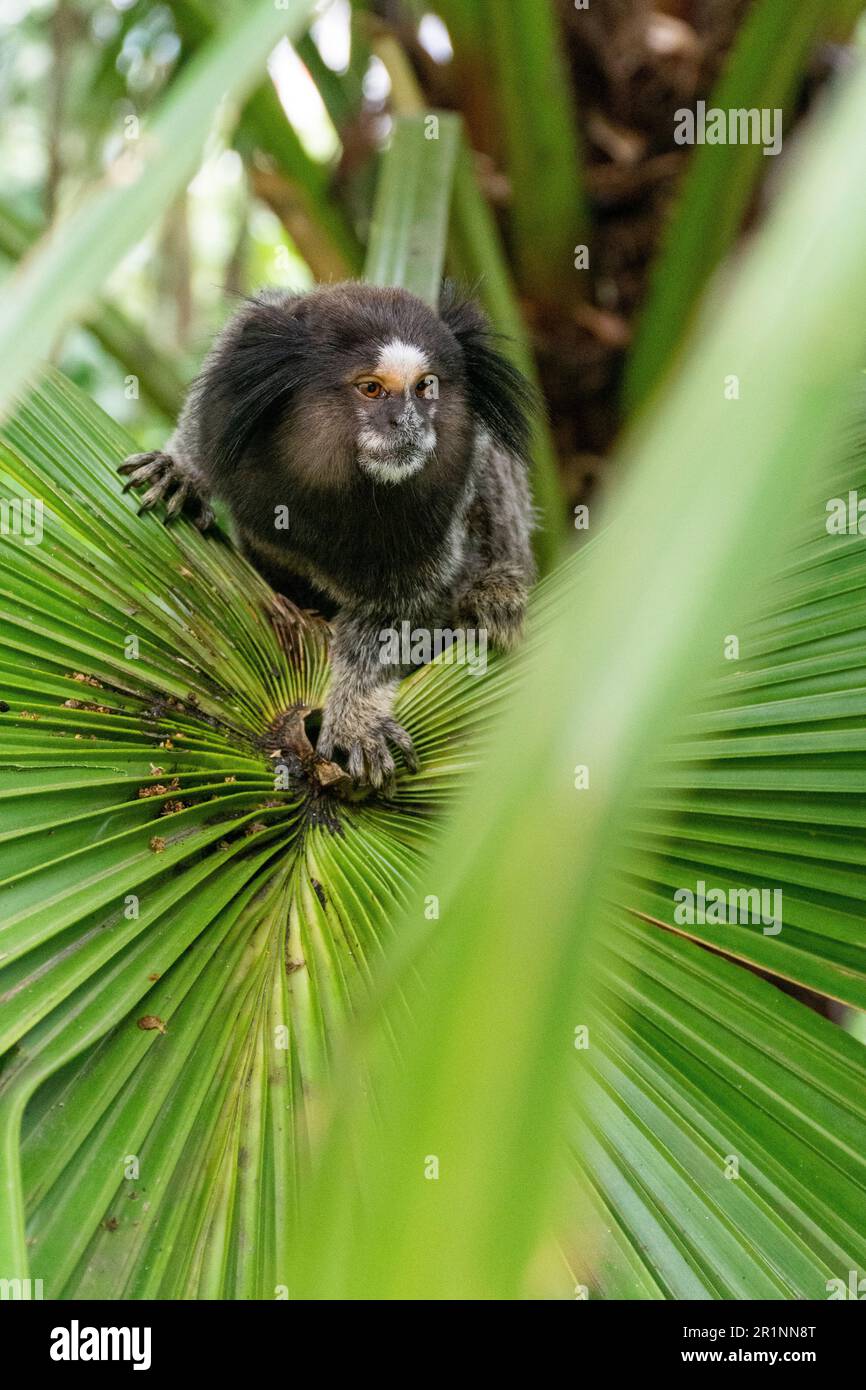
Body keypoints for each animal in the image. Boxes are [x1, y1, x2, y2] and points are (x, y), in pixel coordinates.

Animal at [118, 282, 539, 789]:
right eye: (371, 388)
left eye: (425, 387)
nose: (411, 424)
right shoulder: (232, 378)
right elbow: (198, 440)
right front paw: (182, 471)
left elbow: (403, 614)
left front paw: (354, 717)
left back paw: (489, 596)